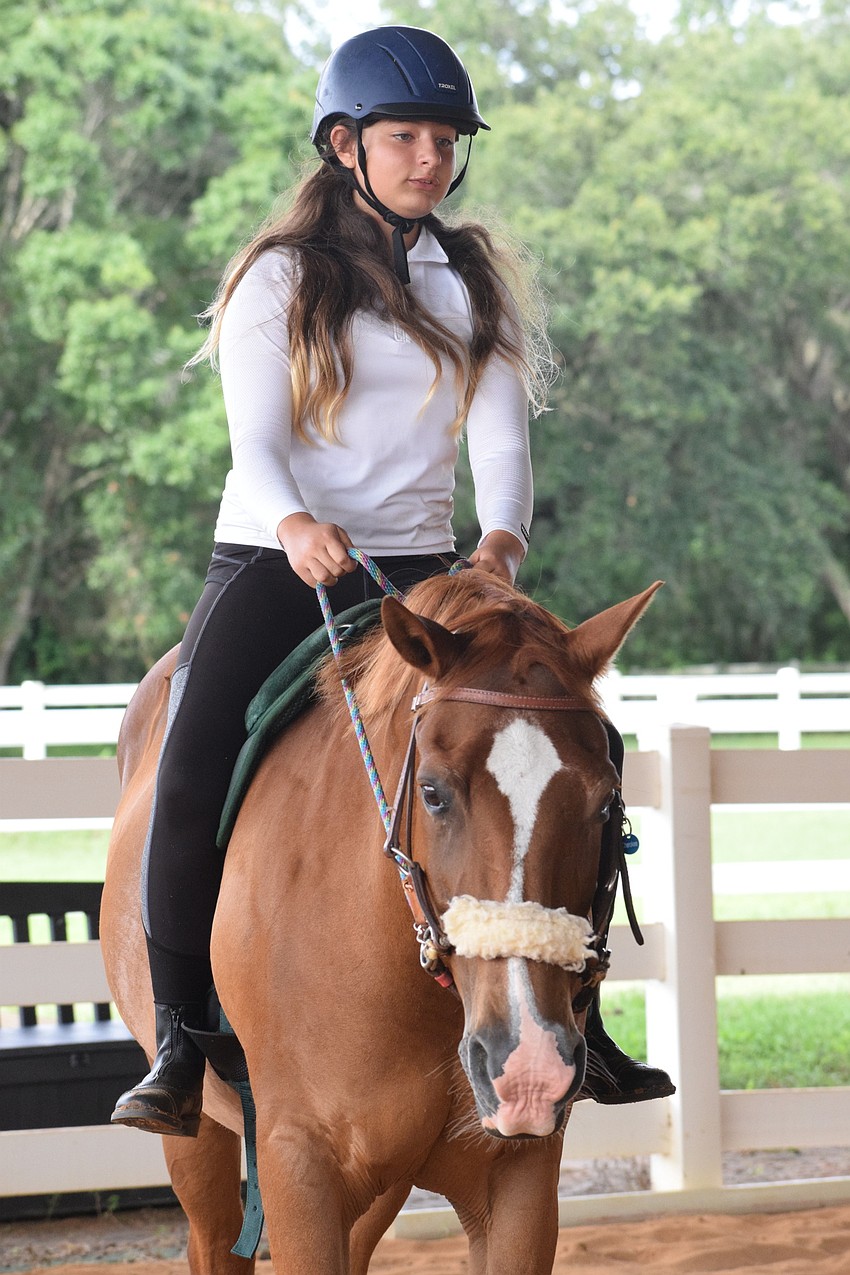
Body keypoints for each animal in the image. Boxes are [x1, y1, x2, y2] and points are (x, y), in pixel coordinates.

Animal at [100, 570, 661, 1274]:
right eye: (432, 792)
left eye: (605, 801)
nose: (527, 1060)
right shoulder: (298, 1168)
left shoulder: (519, 1181)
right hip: (199, 1144)